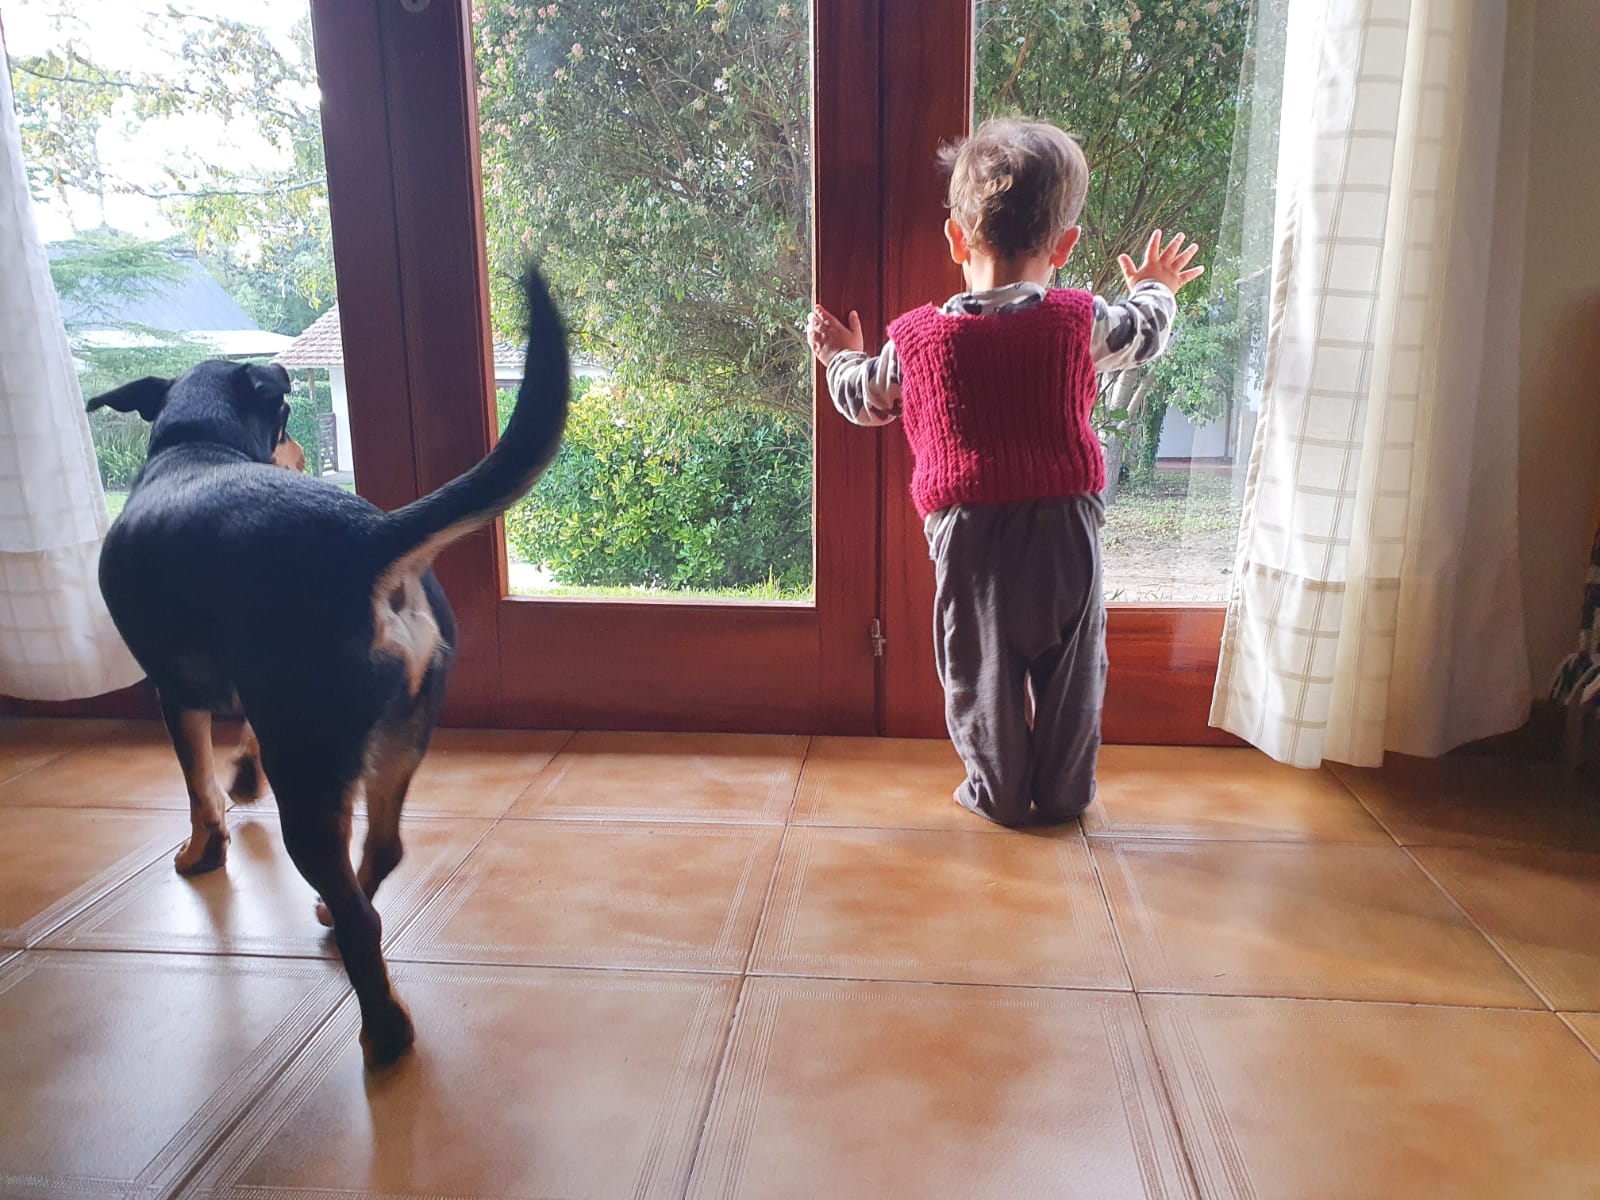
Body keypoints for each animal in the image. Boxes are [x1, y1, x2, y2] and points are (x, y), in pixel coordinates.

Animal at [92, 267, 569, 1068]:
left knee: (358, 916)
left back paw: (384, 1026)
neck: (196, 443)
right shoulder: (256, 687)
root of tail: (370, 538)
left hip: (311, 775)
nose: (296, 456)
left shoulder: (175, 690)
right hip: (394, 735)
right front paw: (241, 776)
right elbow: (242, 742)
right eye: (287, 422)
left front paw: (202, 849)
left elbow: (196, 786)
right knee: (383, 846)